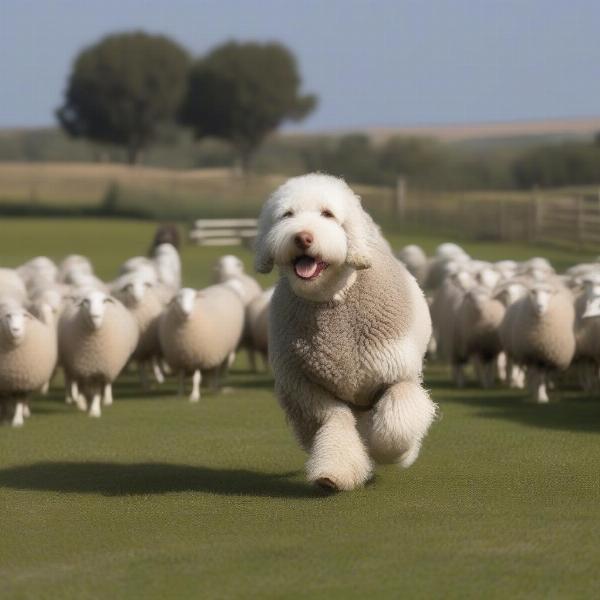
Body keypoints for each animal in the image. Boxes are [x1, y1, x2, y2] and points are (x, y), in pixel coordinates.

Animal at [58, 290, 138, 418]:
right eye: (85, 301)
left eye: (104, 301)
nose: (95, 316)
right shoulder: (80, 366)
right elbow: (81, 387)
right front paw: (82, 404)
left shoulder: (100, 368)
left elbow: (96, 391)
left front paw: (94, 411)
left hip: (109, 365)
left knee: (107, 383)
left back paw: (107, 399)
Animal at [253, 173, 436, 492]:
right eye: (287, 215)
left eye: (328, 214)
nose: (303, 237)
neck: (333, 300)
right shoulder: (307, 388)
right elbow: (336, 424)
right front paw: (334, 474)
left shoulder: (396, 374)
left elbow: (396, 416)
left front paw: (387, 450)